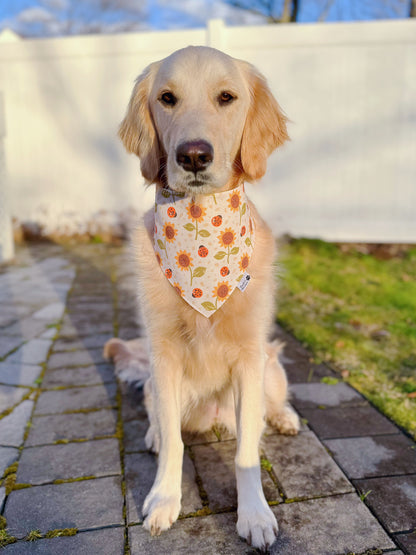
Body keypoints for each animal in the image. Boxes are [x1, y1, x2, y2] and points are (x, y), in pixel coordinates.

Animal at [104, 46, 300, 552]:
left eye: (226, 97)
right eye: (167, 98)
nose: (193, 155)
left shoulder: (250, 358)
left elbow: (247, 450)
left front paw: (255, 515)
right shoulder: (163, 355)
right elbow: (174, 443)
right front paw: (164, 500)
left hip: (271, 367)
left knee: (273, 405)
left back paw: (285, 418)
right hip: (155, 382)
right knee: (160, 418)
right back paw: (153, 434)